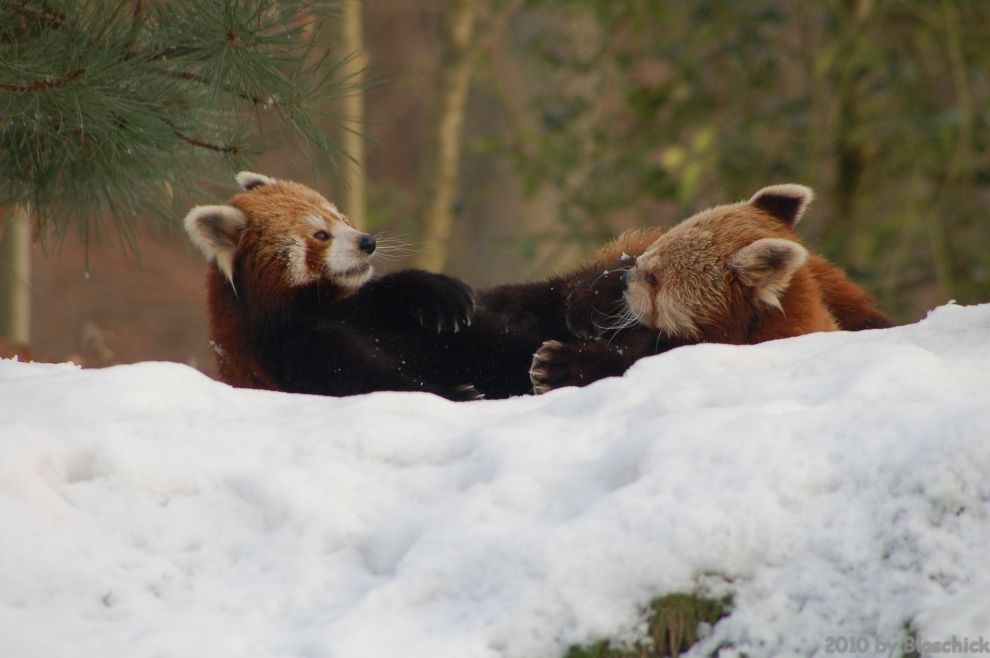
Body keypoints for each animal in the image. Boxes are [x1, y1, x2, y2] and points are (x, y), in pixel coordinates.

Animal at [188, 172, 482, 398]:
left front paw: (443, 295)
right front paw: (455, 393)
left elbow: (390, 288)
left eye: (342, 218)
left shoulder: (357, 306)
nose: (368, 242)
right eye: (321, 235)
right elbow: (365, 380)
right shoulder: (280, 349)